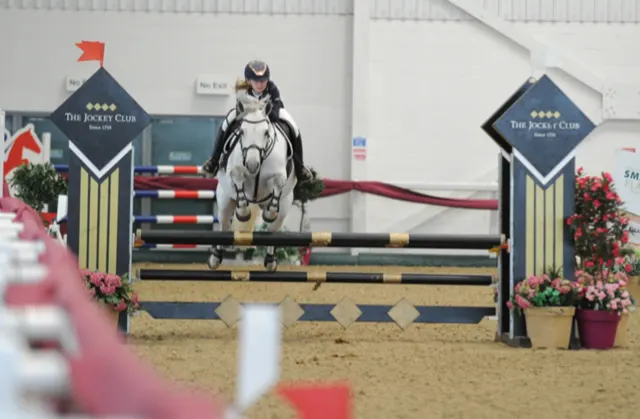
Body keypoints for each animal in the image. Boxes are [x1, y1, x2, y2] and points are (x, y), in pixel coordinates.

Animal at [209, 92, 296, 272]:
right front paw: (243, 212)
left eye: (266, 133)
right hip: (225, 201)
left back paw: (270, 261)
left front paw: (269, 213)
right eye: (241, 131)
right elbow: (238, 176)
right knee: (223, 225)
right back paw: (215, 258)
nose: (252, 165)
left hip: (284, 208)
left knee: (273, 230)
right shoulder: (234, 172)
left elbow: (278, 182)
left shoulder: (279, 175)